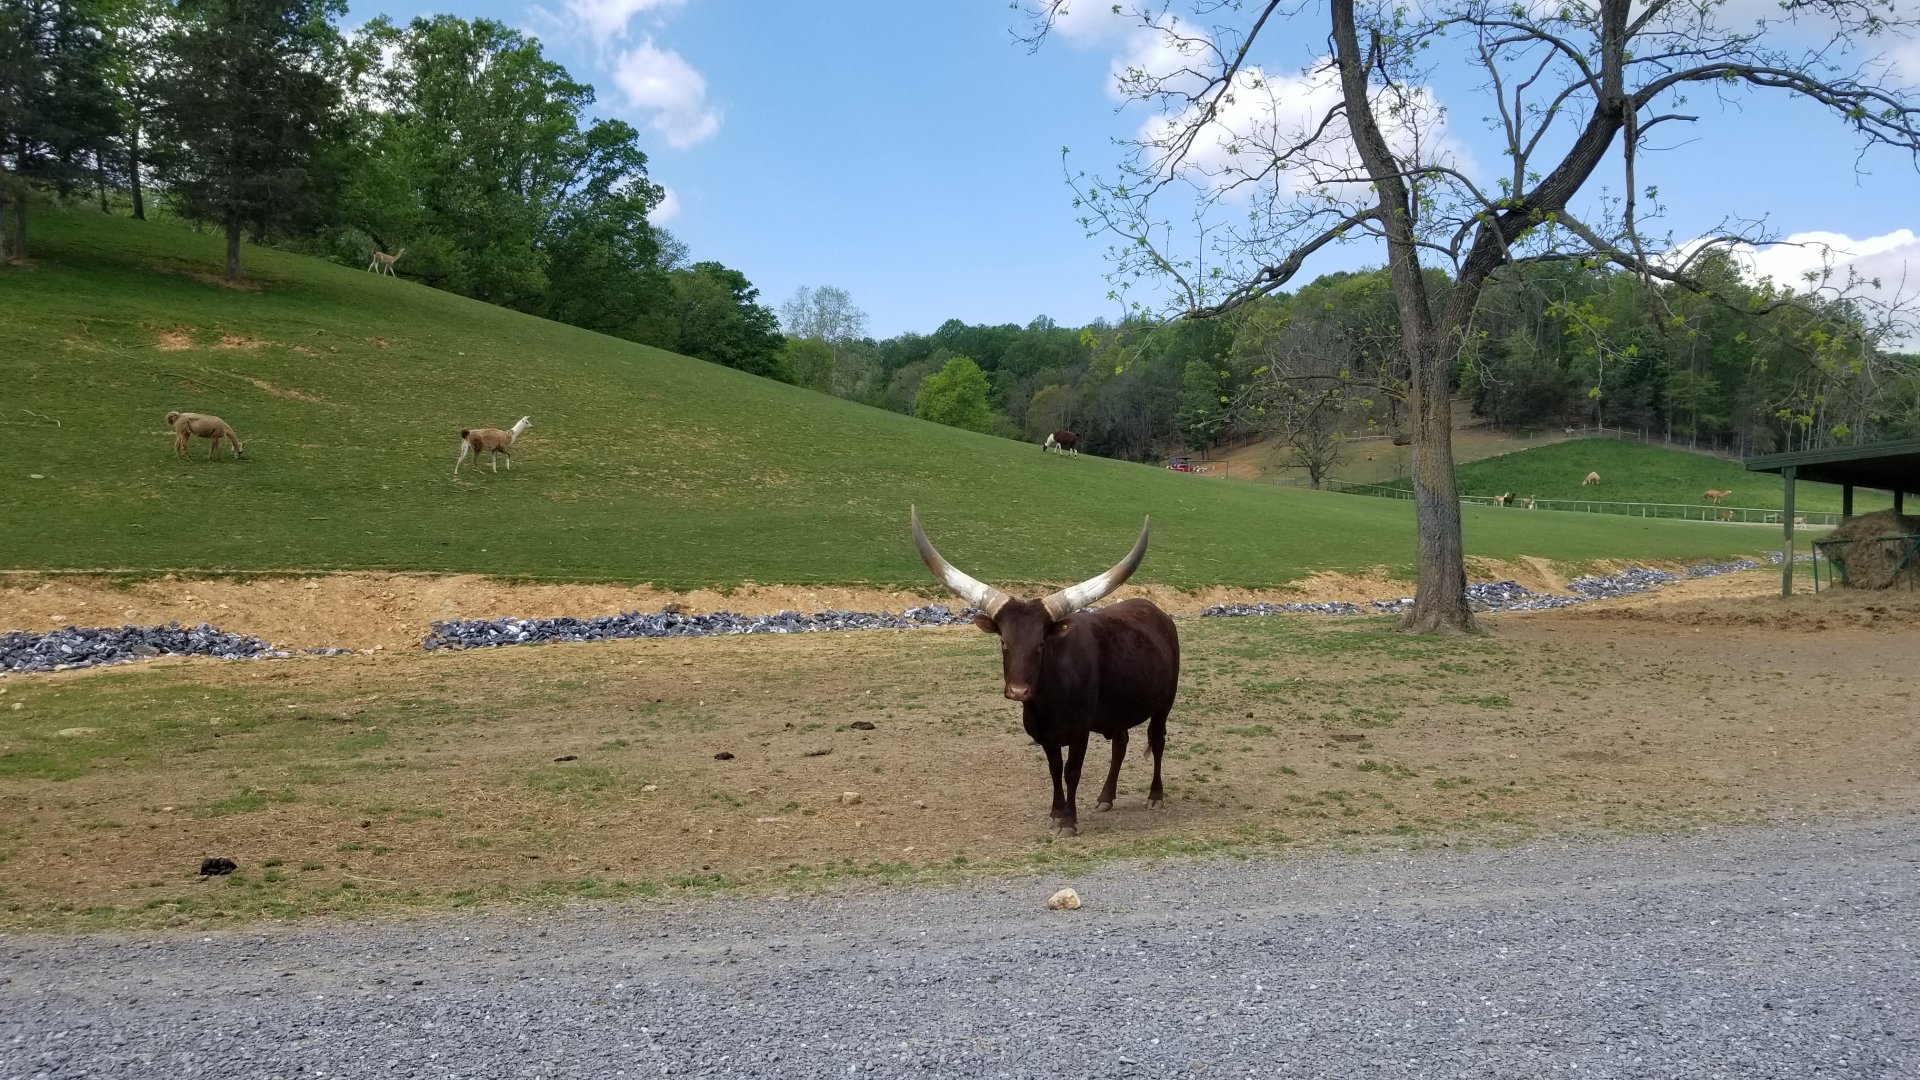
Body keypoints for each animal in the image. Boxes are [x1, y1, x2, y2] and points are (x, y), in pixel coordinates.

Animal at [911, 508, 1178, 836]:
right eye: (1004, 641)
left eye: (1040, 643)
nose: (1018, 691)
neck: (1046, 701)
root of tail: (1159, 613)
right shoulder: (1044, 733)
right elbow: (1054, 769)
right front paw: (1055, 812)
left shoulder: (1079, 730)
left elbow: (1071, 771)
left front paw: (1069, 821)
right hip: (1118, 709)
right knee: (1120, 744)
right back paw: (1106, 797)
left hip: (1165, 703)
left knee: (1158, 739)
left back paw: (1155, 796)